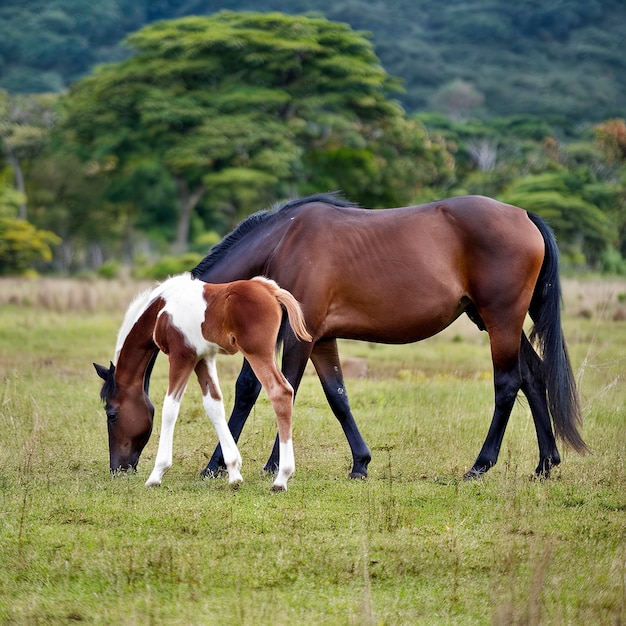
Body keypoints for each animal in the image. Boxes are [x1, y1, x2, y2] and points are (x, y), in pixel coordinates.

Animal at [92, 272, 310, 488]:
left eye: (112, 415)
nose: (117, 469)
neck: (160, 310)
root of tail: (271, 290)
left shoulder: (182, 356)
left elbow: (170, 408)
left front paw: (157, 474)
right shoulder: (202, 358)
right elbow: (214, 405)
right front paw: (233, 472)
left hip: (257, 352)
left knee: (281, 392)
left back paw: (281, 478)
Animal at [193, 194, 588, 478]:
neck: (283, 242)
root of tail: (524, 215)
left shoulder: (297, 337)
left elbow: (275, 389)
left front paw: (248, 465)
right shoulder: (319, 339)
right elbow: (337, 397)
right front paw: (360, 463)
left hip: (500, 321)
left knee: (507, 383)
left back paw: (480, 465)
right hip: (496, 321)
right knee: (534, 376)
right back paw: (545, 464)